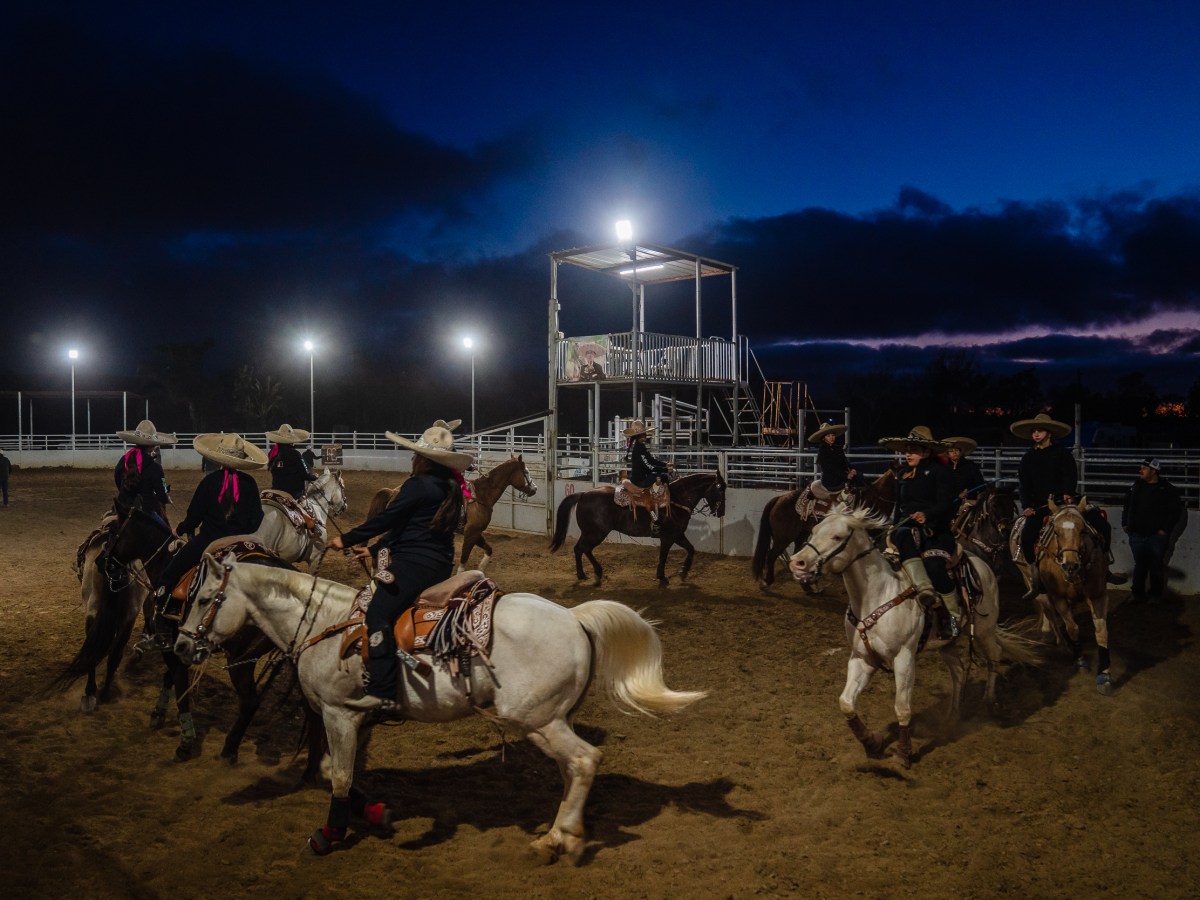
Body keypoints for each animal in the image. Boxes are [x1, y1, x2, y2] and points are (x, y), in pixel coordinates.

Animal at [174, 553, 706, 862]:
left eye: (204, 599)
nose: (180, 647)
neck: (325, 623)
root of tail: (574, 617)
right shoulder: (352, 716)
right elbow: (333, 771)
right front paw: (377, 813)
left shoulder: (339, 714)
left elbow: (340, 776)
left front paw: (329, 834)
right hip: (553, 720)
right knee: (572, 770)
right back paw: (564, 831)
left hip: (536, 719)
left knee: (585, 761)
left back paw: (557, 841)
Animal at [550, 471, 726, 587]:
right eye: (719, 488)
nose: (721, 512)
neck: (676, 500)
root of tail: (584, 494)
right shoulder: (668, 537)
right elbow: (664, 556)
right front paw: (662, 577)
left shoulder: (678, 535)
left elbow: (691, 549)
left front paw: (683, 572)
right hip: (596, 533)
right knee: (584, 549)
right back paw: (596, 573)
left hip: (589, 532)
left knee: (579, 549)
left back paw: (583, 574)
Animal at [751, 466, 898, 592]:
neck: (873, 500)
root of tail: (779, 498)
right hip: (783, 537)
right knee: (771, 555)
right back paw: (767, 582)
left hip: (801, 535)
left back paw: (807, 586)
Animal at [788, 507, 1041, 768]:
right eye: (814, 530)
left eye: (837, 536)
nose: (797, 563)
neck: (877, 596)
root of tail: (981, 563)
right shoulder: (862, 658)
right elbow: (846, 703)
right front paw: (872, 743)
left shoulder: (904, 657)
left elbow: (902, 707)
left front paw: (903, 752)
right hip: (947, 643)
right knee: (959, 671)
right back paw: (953, 716)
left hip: (984, 629)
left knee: (994, 657)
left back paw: (990, 703)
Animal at [1009, 498, 1114, 695]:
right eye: (1056, 532)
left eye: (1082, 530)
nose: (1070, 566)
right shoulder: (1059, 597)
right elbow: (1072, 628)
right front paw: (1079, 660)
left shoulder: (1098, 596)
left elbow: (1102, 632)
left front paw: (1104, 675)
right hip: (1031, 581)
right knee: (1048, 609)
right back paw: (1060, 641)